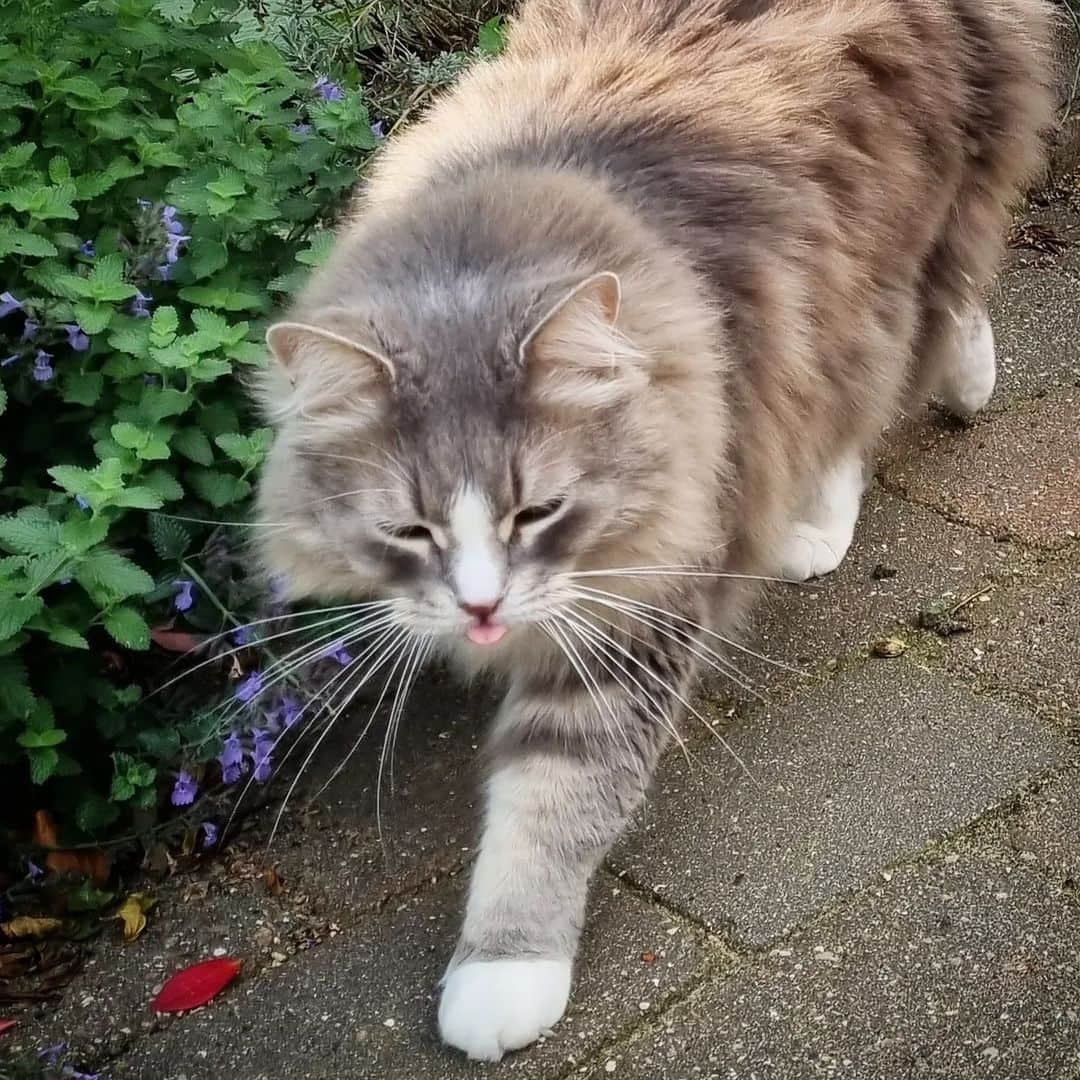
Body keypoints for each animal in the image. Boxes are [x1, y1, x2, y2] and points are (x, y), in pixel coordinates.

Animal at [254, 0, 1054, 1062]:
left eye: (537, 512)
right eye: (411, 531)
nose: (481, 611)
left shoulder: (644, 600)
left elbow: (553, 801)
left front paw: (504, 975)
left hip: (889, 241)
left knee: (902, 349)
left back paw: (862, 479)